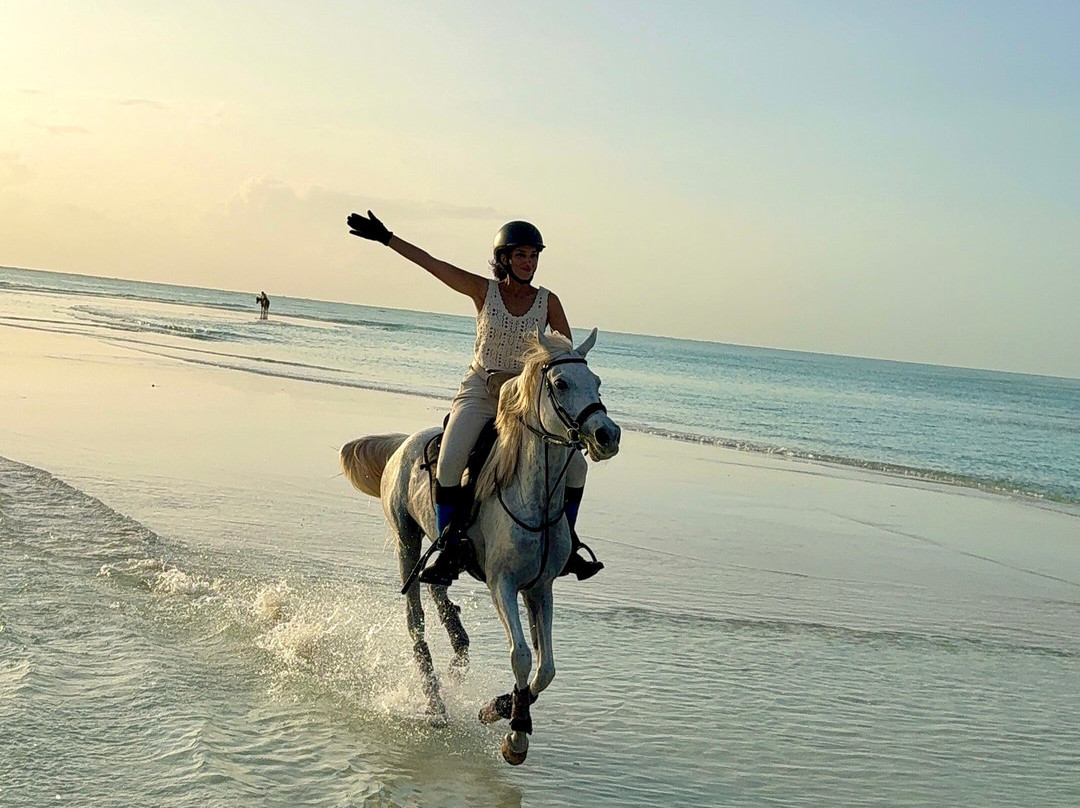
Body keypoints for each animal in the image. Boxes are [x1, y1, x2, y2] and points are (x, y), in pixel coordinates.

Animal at [340, 327, 621, 764]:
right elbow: (522, 654)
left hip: (438, 551)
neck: (533, 496)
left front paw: (499, 707)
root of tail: (404, 444)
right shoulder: (502, 584)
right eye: (561, 383)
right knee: (416, 621)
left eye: (597, 382)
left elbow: (546, 668)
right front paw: (516, 734)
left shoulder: (540, 588)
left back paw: (458, 652)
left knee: (439, 587)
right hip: (406, 539)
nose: (607, 435)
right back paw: (435, 703)